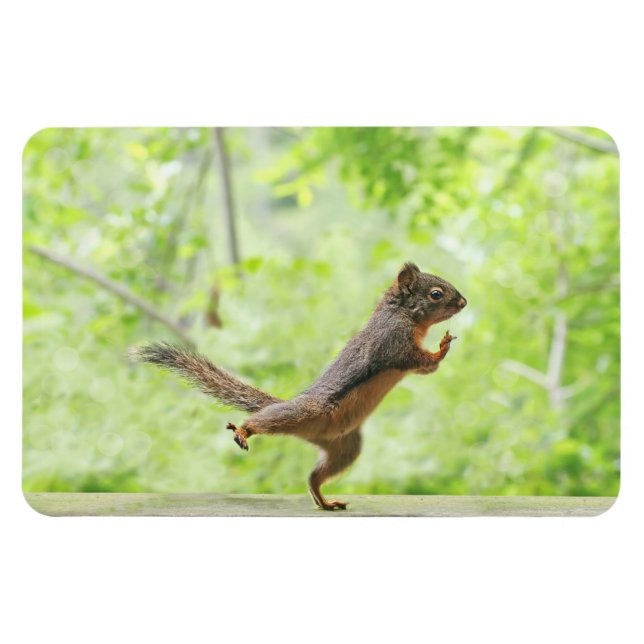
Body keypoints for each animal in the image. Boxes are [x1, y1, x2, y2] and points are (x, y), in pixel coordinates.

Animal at [131, 262, 467, 510]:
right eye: (436, 294)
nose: (463, 302)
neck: (402, 314)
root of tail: (312, 430)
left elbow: (427, 369)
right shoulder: (394, 343)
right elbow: (420, 360)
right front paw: (442, 347)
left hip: (345, 447)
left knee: (314, 477)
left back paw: (325, 501)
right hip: (302, 413)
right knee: (263, 421)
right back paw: (244, 430)